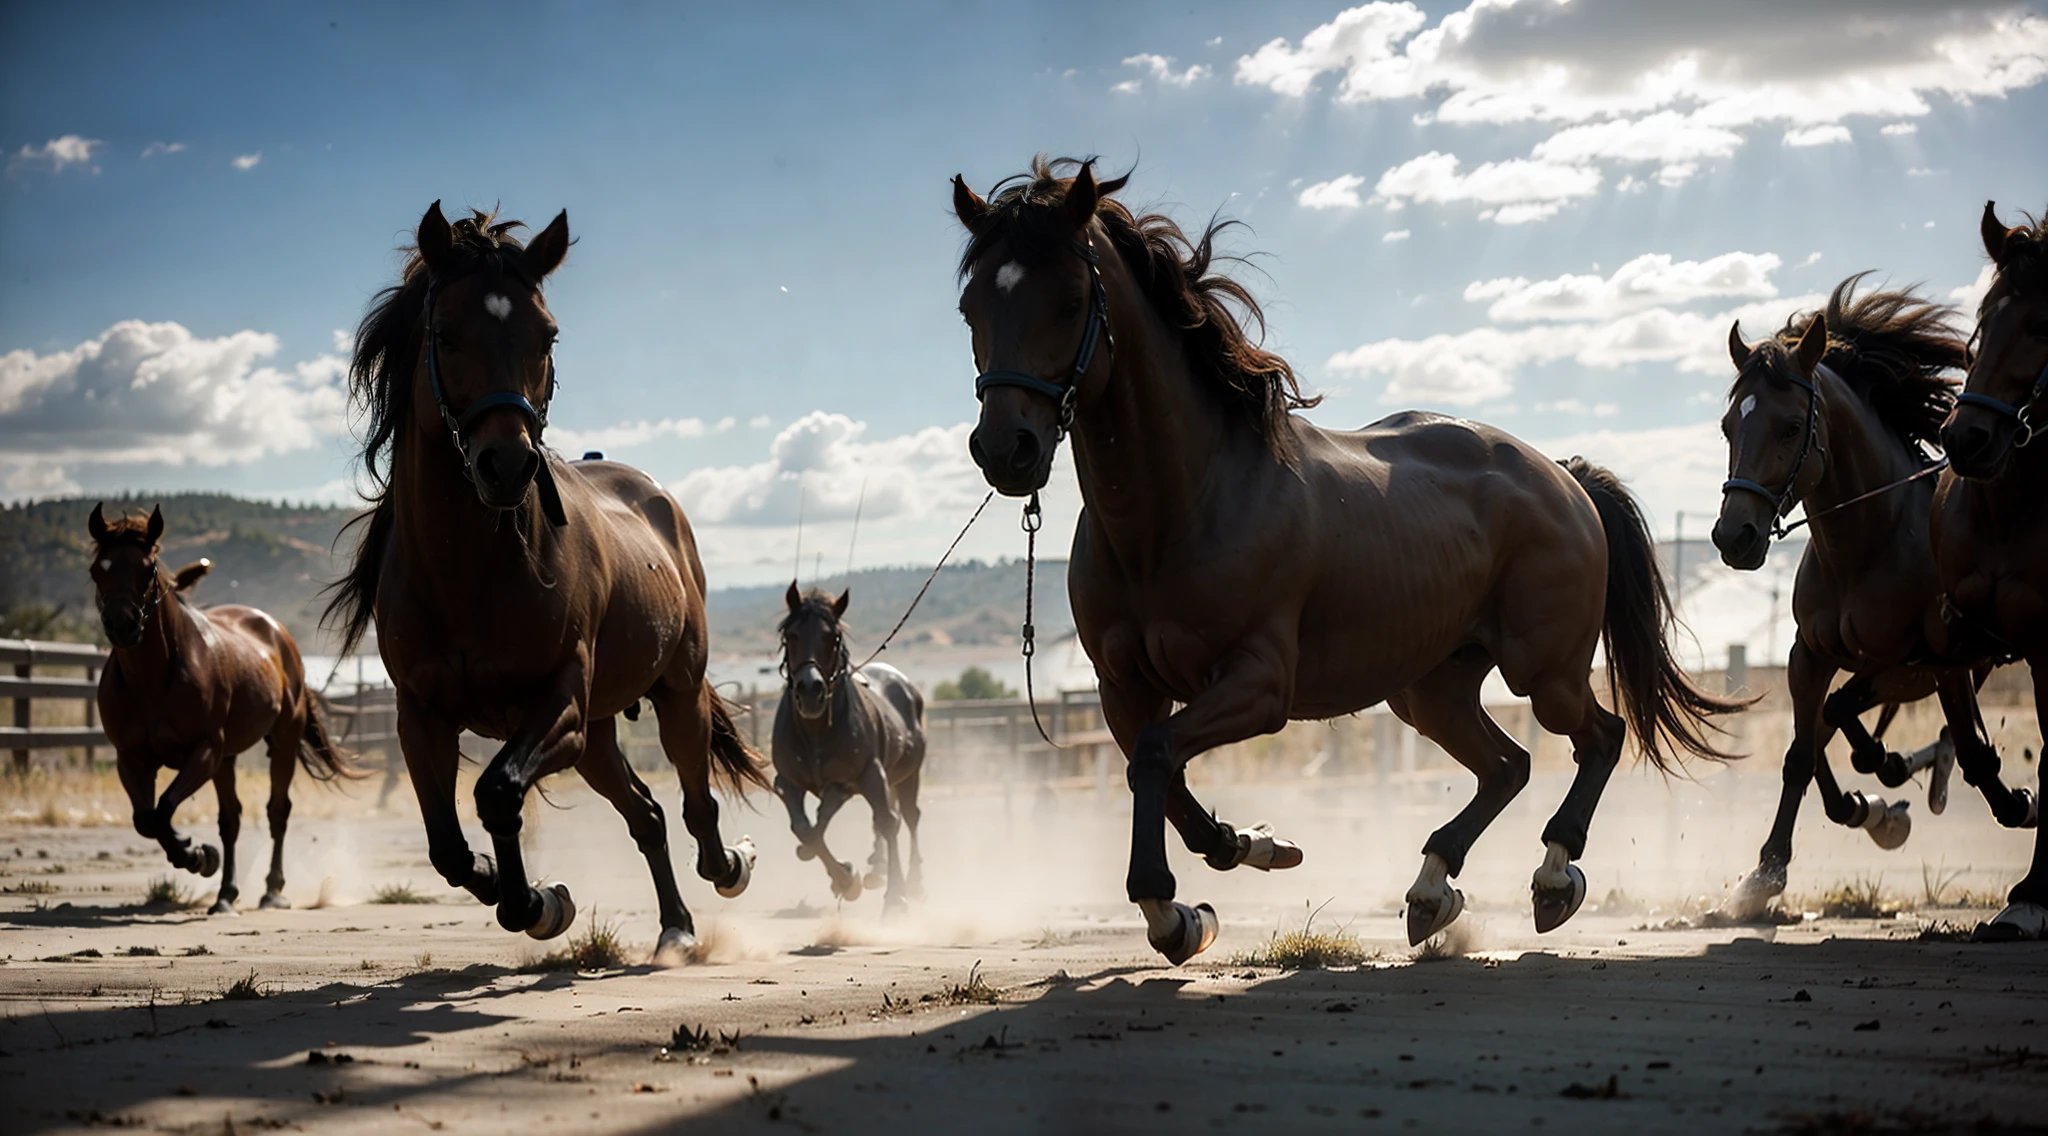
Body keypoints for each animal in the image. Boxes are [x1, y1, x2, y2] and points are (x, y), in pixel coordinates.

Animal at [89, 507, 356, 916]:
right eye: (96, 570)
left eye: (148, 568)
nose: (123, 625)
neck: (154, 679)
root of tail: (279, 633)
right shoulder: (131, 759)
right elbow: (147, 819)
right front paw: (196, 852)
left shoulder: (205, 751)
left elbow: (164, 808)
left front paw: (197, 855)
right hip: (228, 759)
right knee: (231, 819)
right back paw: (226, 894)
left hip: (281, 741)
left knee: (277, 811)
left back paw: (272, 891)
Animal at [331, 204, 765, 962]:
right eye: (445, 332)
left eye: (548, 334)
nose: (507, 465)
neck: (466, 573)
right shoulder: (420, 717)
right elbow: (448, 847)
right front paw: (532, 898)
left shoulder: (555, 704)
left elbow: (498, 792)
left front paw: (536, 903)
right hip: (597, 735)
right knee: (648, 815)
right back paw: (675, 926)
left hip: (673, 693)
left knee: (695, 805)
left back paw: (729, 868)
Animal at [954, 155, 1744, 966]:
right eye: (970, 307)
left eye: (1070, 300)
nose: (1005, 449)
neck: (1184, 508)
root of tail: (1563, 476)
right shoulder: (1122, 689)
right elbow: (1157, 771)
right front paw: (1243, 853)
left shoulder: (1259, 684)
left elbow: (1155, 757)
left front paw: (1172, 908)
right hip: (1430, 690)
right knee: (1507, 765)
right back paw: (1431, 890)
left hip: (1544, 672)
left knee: (1599, 739)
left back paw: (1554, 879)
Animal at [1703, 280, 2023, 921]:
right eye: (1728, 426)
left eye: (1790, 427)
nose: (1734, 536)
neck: (1867, 546)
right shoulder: (1809, 656)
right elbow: (1803, 751)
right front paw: (1767, 872)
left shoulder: (1922, 664)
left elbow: (1850, 720)